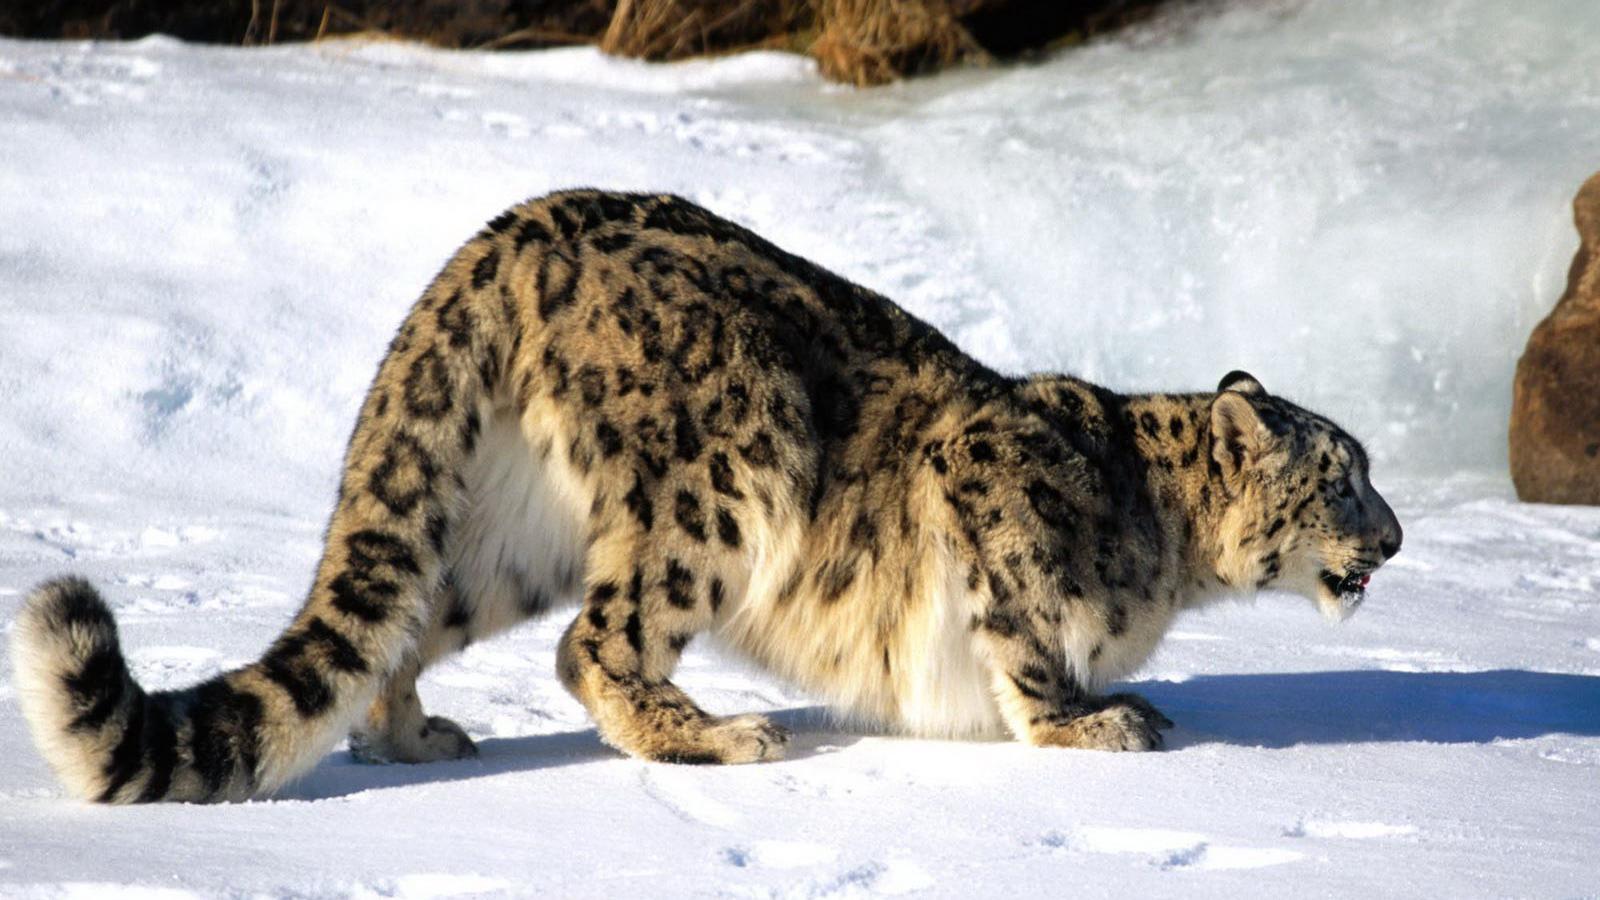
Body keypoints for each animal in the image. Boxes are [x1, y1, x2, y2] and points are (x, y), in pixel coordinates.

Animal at [11, 189, 1403, 803]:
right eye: (1343, 475)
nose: (1395, 537)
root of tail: (506, 232)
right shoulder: (988, 488)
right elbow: (1023, 638)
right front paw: (1092, 723)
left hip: (503, 532)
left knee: (407, 618)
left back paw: (412, 736)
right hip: (730, 466)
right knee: (595, 644)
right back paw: (720, 737)